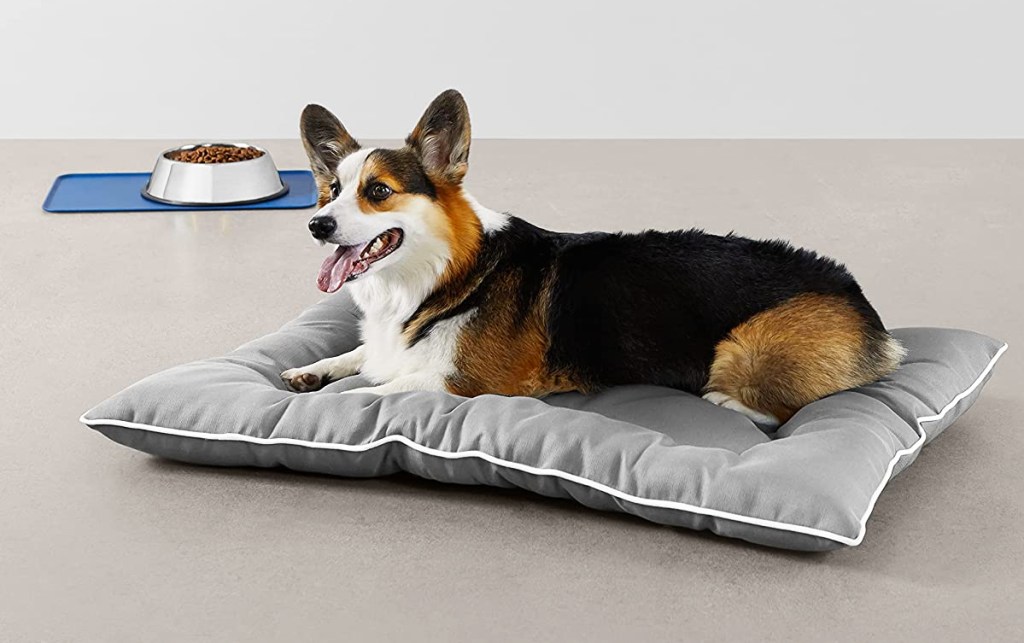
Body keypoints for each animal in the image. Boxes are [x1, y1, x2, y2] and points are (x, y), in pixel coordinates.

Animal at [280, 89, 905, 427]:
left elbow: (374, 390)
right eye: (330, 192)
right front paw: (312, 371)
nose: (316, 225)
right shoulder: (388, 347)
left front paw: (335, 398)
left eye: (378, 191)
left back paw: (724, 402)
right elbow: (358, 357)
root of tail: (865, 306)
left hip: (741, 348)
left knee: (774, 408)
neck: (441, 272)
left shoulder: (467, 382)